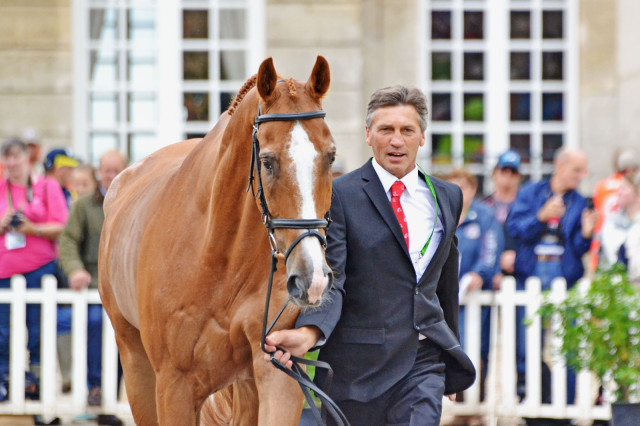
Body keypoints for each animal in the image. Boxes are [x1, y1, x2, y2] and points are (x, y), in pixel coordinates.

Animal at [100, 57, 336, 426]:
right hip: (135, 363)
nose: (312, 280)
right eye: (267, 162)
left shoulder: (276, 373)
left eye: (330, 157)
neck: (220, 259)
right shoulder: (175, 386)